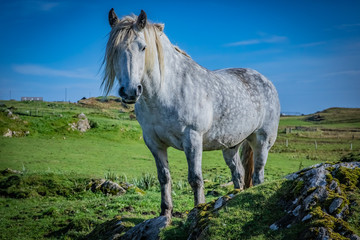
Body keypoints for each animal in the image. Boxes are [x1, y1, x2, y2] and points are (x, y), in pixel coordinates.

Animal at [102, 8, 280, 219]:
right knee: (238, 174)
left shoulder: (193, 139)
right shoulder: (154, 142)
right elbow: (164, 177)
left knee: (258, 174)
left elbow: (195, 179)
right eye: (114, 49)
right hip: (231, 145)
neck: (167, 91)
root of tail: (265, 81)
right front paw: (166, 214)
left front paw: (198, 209)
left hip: (261, 141)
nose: (130, 91)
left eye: (143, 47)